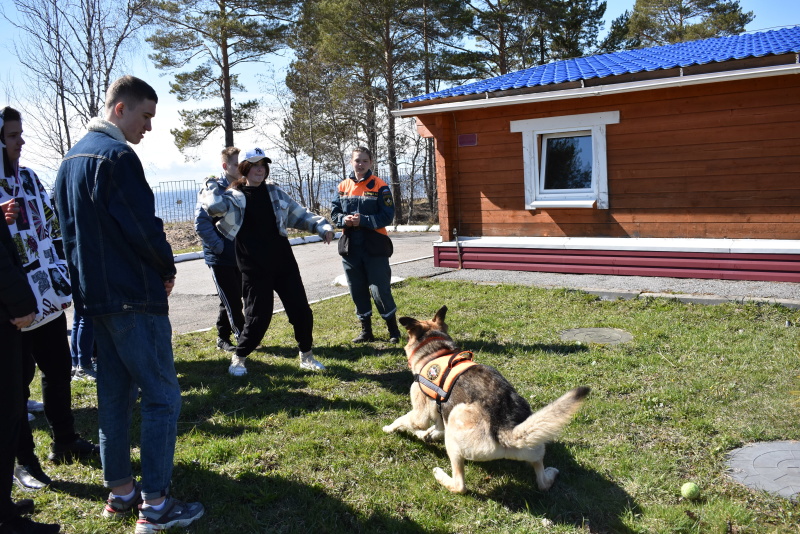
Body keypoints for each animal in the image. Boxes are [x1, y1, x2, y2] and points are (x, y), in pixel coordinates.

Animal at [384, 308, 592, 496]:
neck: (436, 351)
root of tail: (506, 431)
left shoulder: (421, 414)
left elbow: (403, 420)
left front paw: (389, 428)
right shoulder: (441, 410)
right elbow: (434, 427)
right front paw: (428, 434)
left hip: (456, 422)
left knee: (460, 486)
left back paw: (441, 475)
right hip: (535, 446)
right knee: (542, 481)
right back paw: (550, 473)